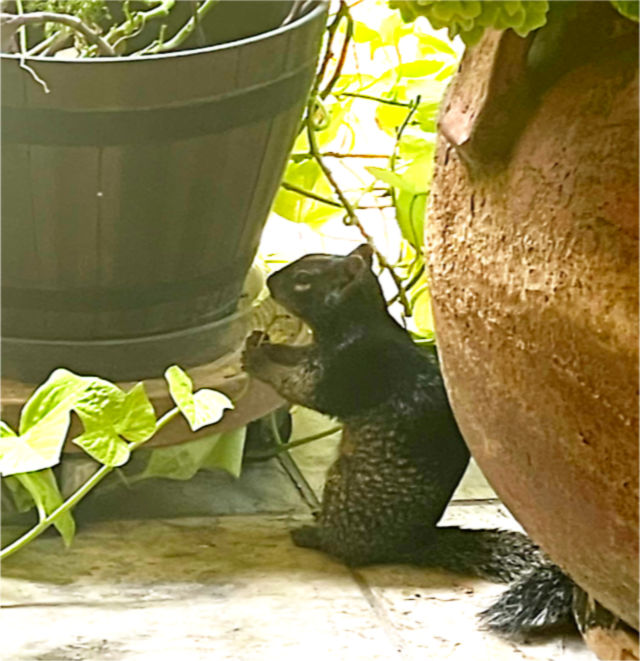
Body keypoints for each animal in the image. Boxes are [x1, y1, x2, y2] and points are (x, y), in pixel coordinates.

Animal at [242, 244, 576, 636]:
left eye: (303, 279)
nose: (270, 281)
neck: (359, 321)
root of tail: (414, 542)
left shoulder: (347, 372)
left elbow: (301, 386)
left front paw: (258, 358)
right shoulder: (315, 352)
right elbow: (295, 358)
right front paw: (263, 344)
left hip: (343, 485)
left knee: (346, 549)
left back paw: (313, 534)